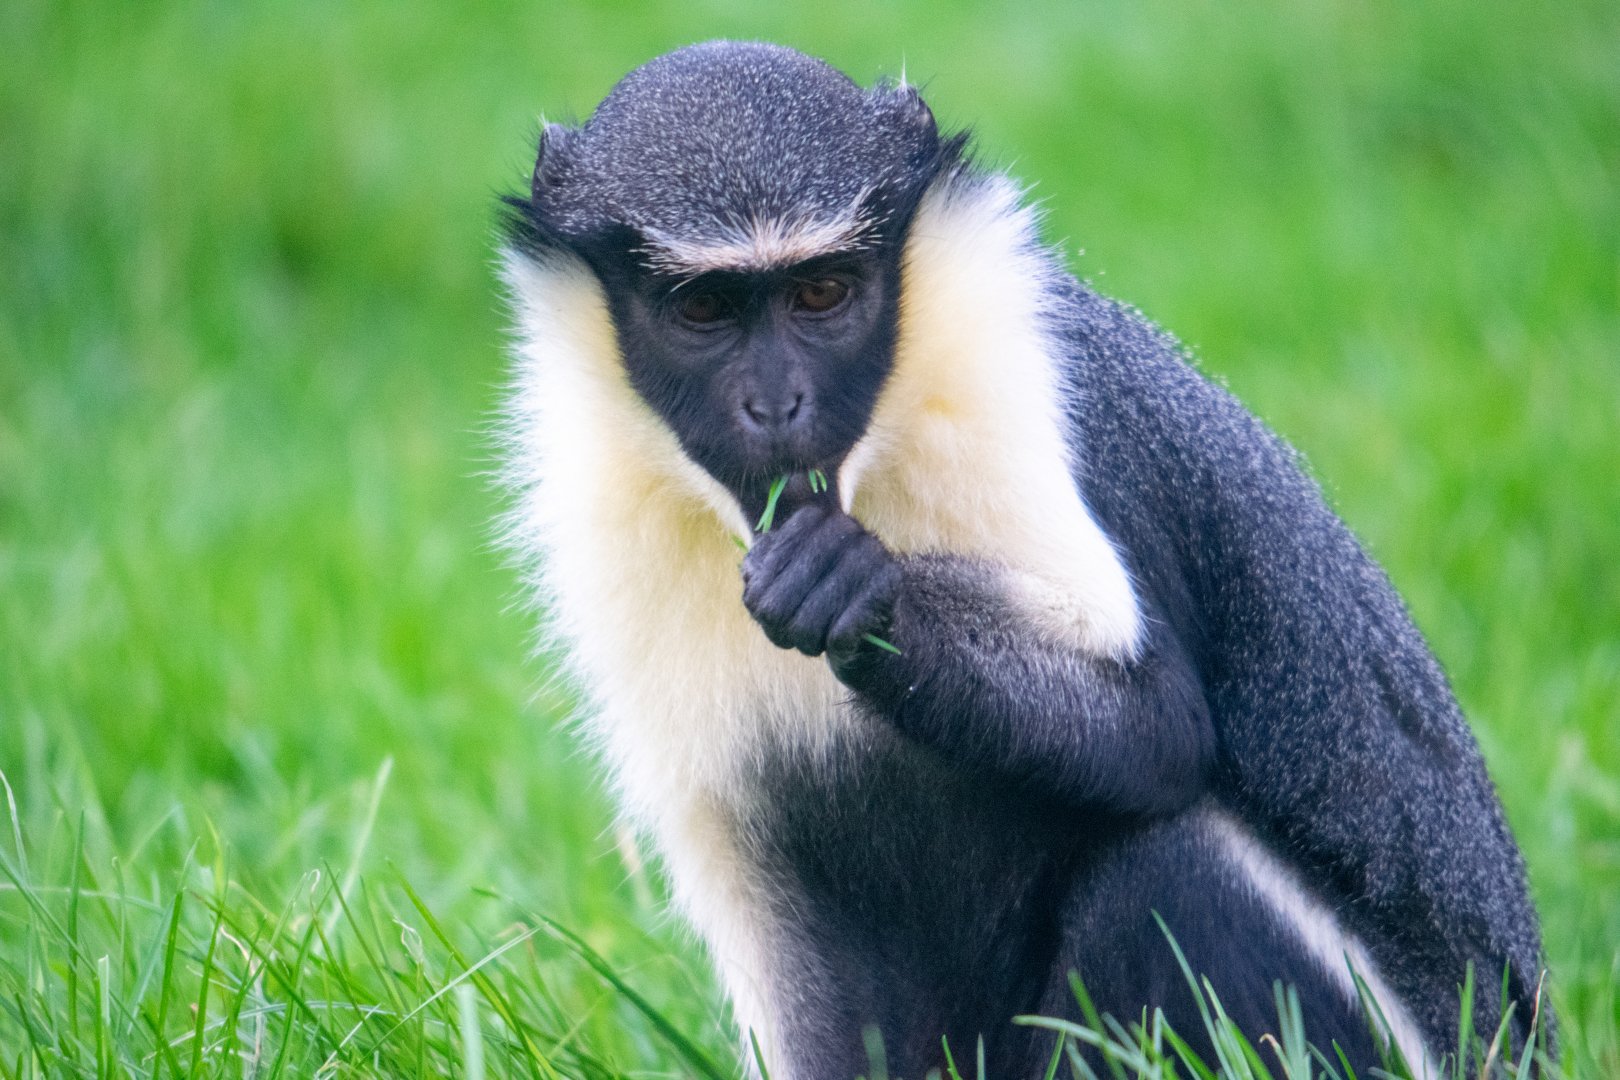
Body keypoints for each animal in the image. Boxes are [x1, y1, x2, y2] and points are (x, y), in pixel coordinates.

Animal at [497, 41, 1550, 1079]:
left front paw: (866, 595)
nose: (777, 403)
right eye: (706, 307)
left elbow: (1161, 726)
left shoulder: (1024, 396)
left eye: (820, 293)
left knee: (1171, 863)